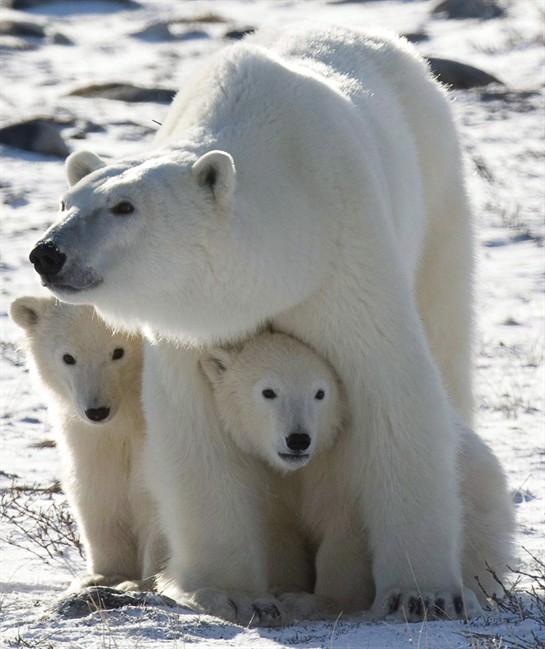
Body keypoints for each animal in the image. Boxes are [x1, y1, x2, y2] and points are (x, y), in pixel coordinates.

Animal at [9, 296, 165, 592]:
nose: (97, 411)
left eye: (118, 352)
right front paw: (104, 576)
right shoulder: (89, 435)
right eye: (68, 357)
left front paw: (145, 583)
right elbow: (98, 487)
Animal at [203, 333, 514, 621]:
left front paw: (316, 601)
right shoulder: (269, 477)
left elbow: (346, 534)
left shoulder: (348, 465)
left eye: (320, 393)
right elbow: (279, 531)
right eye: (268, 391)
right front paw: (282, 589)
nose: (298, 440)